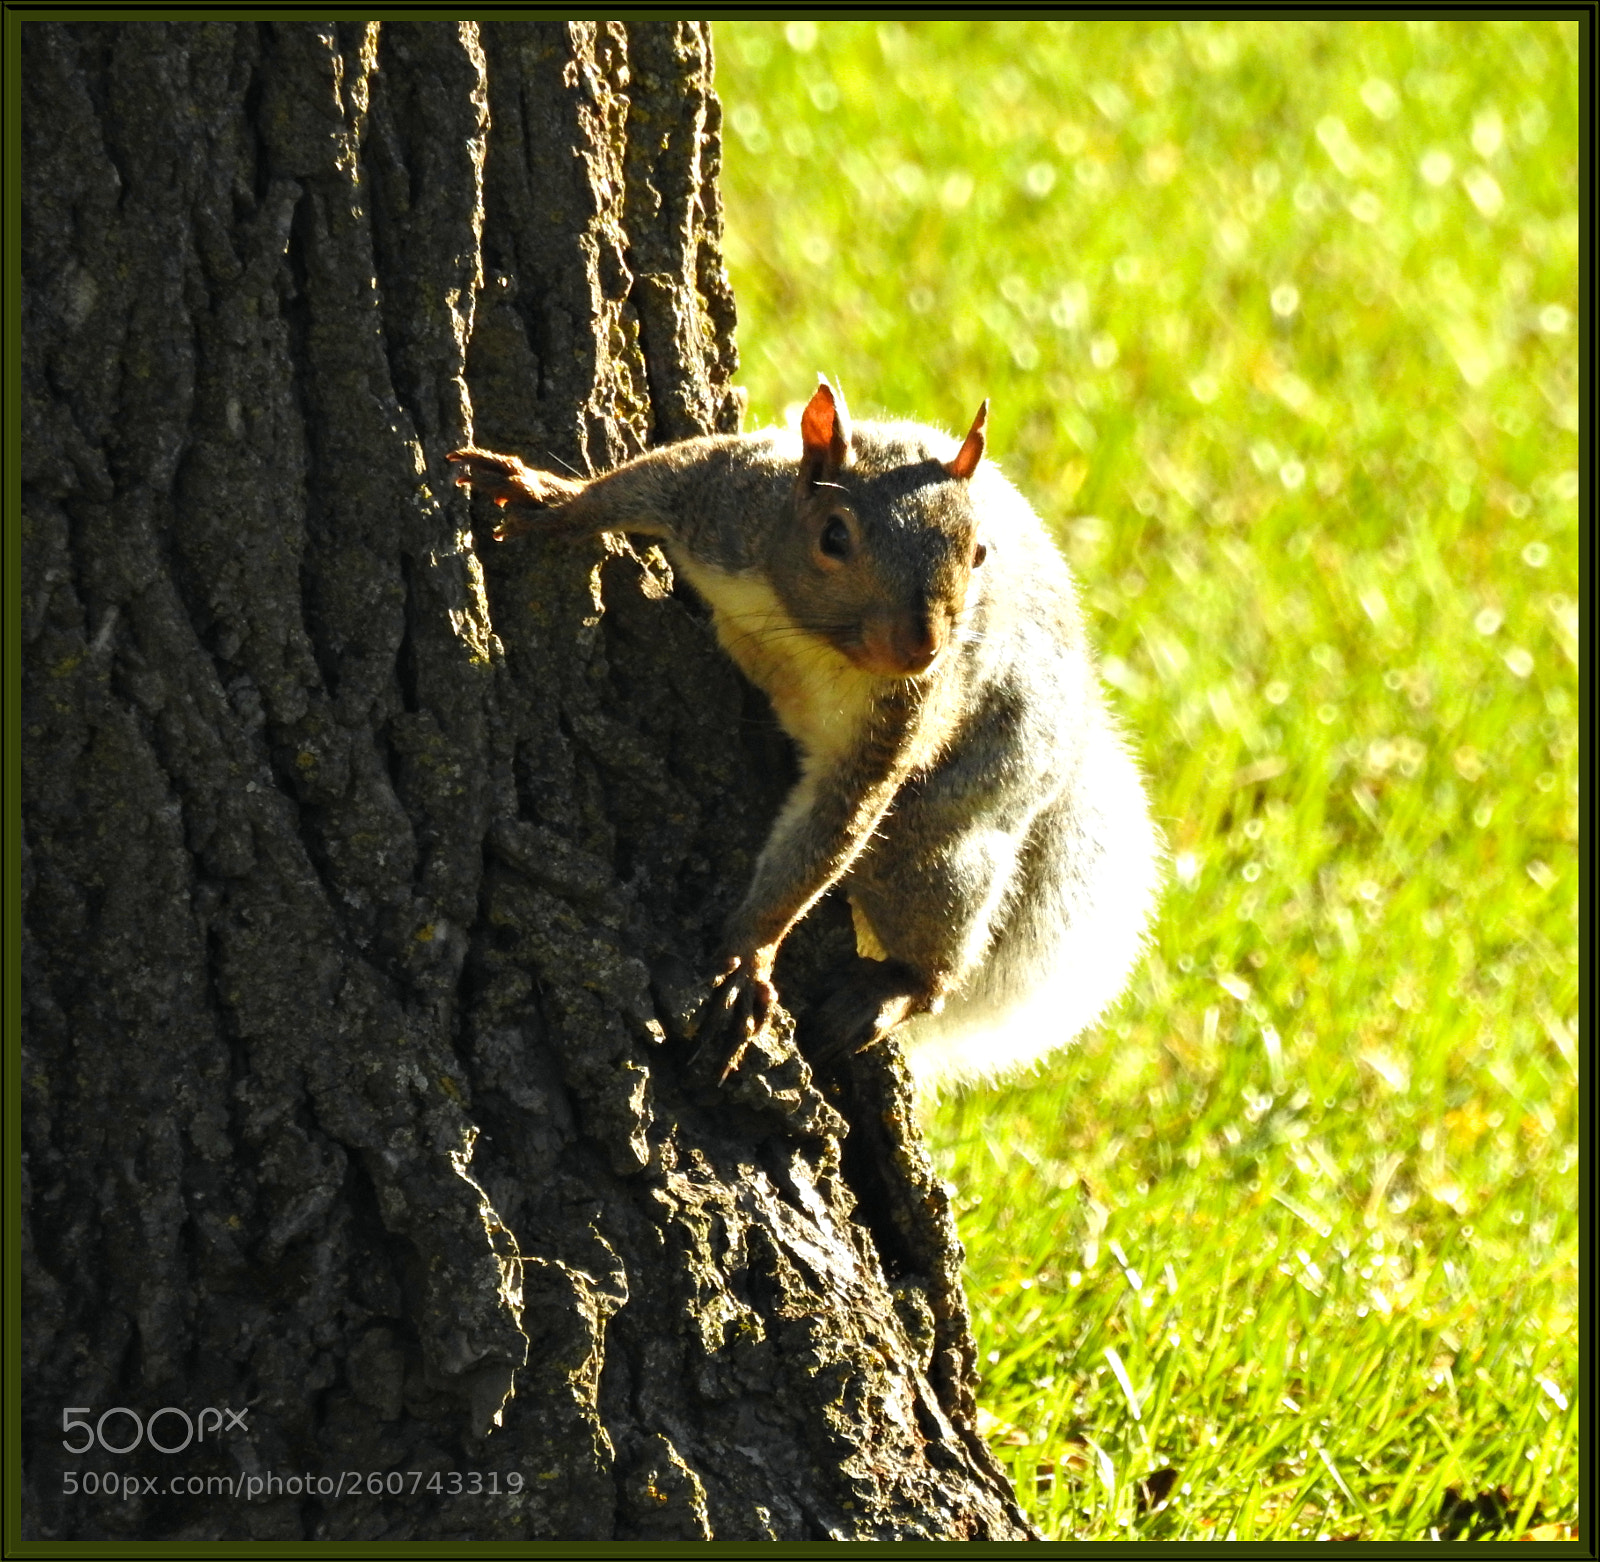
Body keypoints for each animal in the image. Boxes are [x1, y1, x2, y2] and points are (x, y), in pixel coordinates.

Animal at [448, 379, 1161, 1095]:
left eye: (978, 553)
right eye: (834, 536)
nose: (922, 648)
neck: (810, 635)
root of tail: (1072, 740)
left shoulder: (896, 723)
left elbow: (827, 837)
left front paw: (750, 959)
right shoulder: (728, 502)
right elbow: (647, 479)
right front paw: (546, 496)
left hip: (942, 838)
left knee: (937, 936)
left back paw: (896, 990)